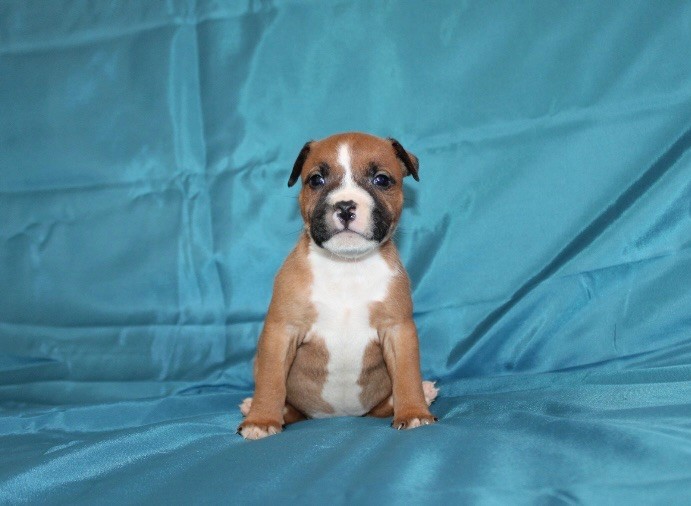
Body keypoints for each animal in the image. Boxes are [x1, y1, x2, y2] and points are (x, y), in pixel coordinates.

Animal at [237, 132, 438, 440]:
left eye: (382, 180)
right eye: (316, 180)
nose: (345, 206)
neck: (347, 266)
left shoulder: (398, 330)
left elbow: (407, 375)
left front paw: (414, 412)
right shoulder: (282, 331)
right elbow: (271, 380)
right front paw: (261, 420)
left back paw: (421, 395)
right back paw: (257, 407)